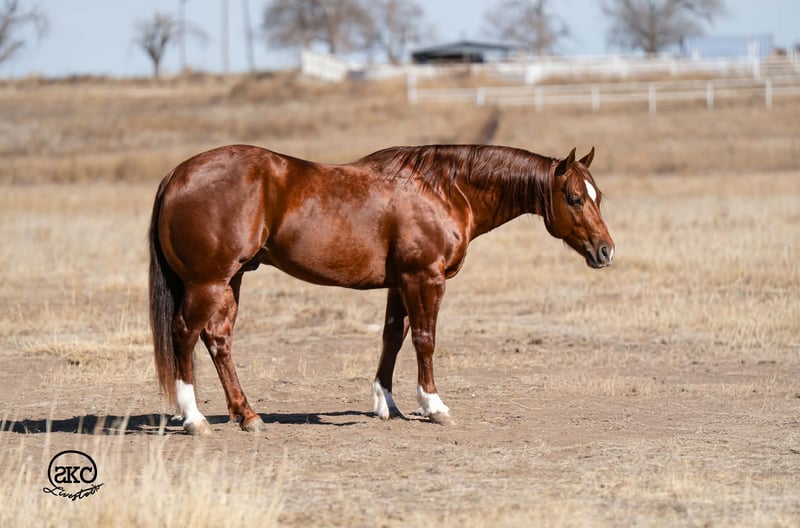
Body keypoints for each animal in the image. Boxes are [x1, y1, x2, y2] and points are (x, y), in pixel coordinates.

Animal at [149, 144, 614, 435]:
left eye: (598, 196)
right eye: (574, 198)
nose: (606, 250)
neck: (443, 190)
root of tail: (175, 174)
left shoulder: (399, 284)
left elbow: (392, 338)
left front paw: (386, 404)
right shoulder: (424, 278)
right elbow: (425, 339)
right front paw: (433, 406)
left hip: (232, 280)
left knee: (218, 339)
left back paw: (247, 415)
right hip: (208, 282)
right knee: (185, 334)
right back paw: (194, 419)